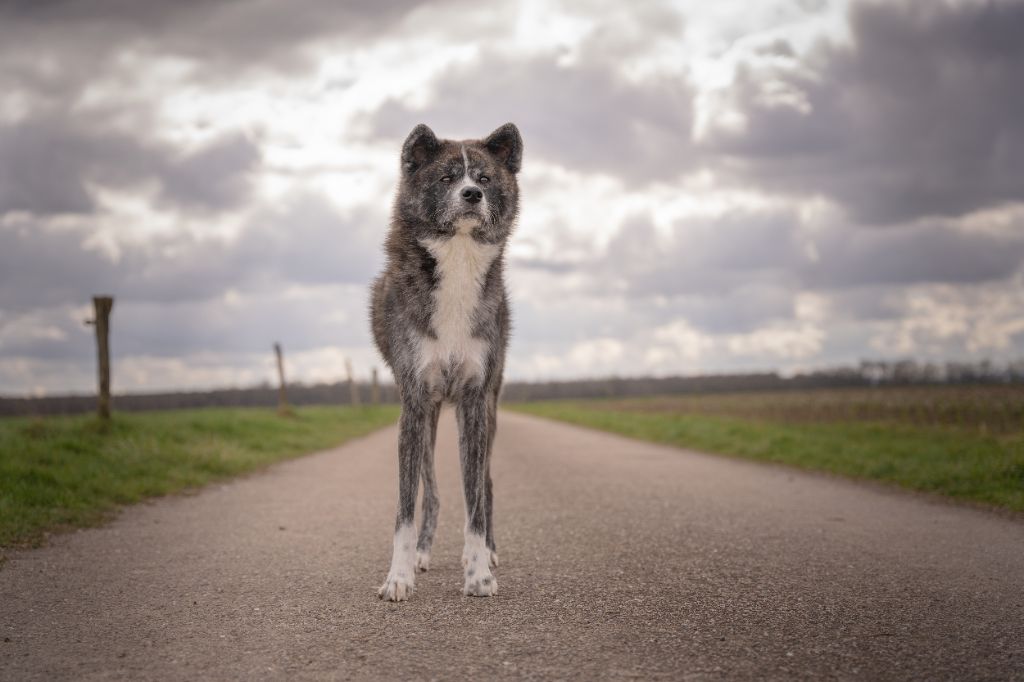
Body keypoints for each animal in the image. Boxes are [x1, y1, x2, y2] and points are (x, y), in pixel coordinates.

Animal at [370, 123, 520, 602]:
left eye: (484, 178)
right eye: (447, 178)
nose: (472, 194)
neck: (457, 257)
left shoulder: (474, 400)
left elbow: (474, 503)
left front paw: (478, 573)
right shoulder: (415, 402)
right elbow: (406, 506)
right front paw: (399, 577)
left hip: (489, 409)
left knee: (485, 485)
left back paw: (489, 551)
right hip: (431, 416)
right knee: (431, 491)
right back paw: (421, 554)